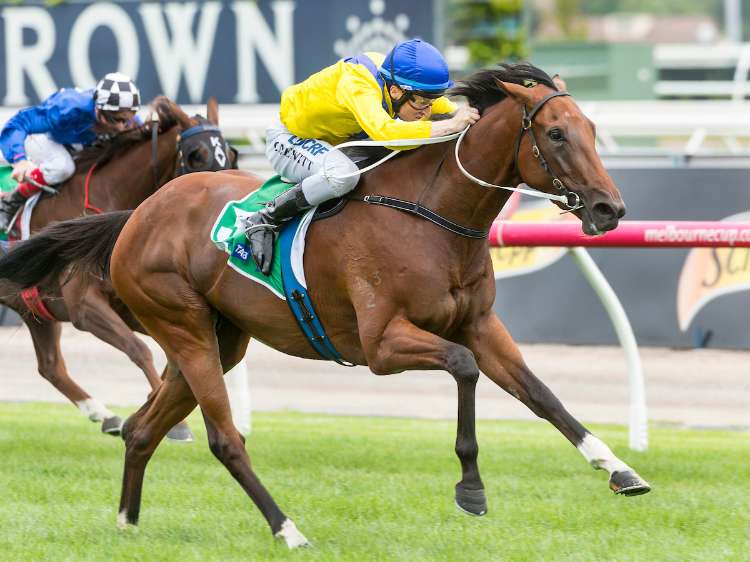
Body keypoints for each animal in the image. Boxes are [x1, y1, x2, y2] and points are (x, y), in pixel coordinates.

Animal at [0, 96, 236, 438]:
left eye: (229, 153)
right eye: (196, 155)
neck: (106, 196)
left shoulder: (137, 304)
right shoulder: (84, 306)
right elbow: (139, 349)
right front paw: (176, 425)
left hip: (36, 312)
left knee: (50, 367)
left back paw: (105, 415)